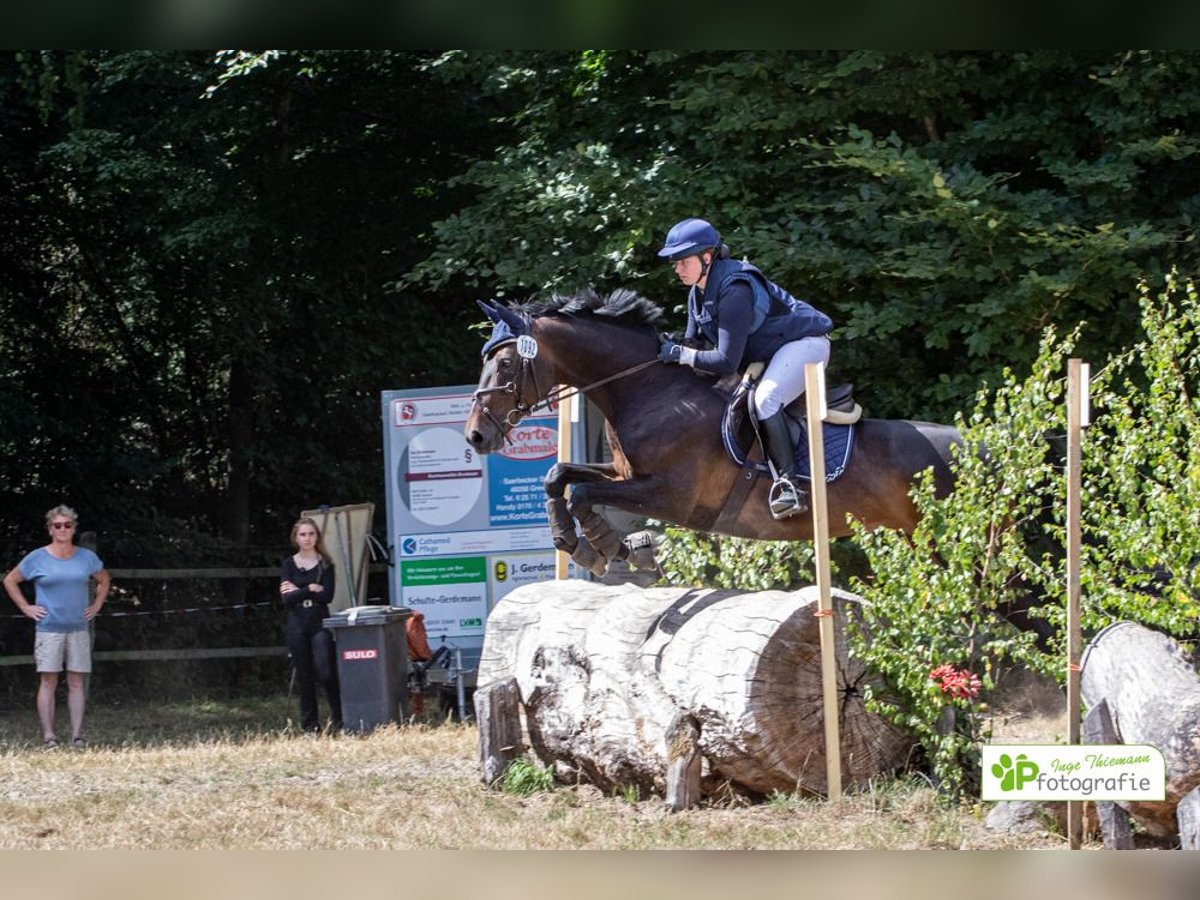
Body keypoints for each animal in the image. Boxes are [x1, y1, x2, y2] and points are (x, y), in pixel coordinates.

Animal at [463, 289, 960, 578]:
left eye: (504, 364)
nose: (475, 437)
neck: (650, 389)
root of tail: (971, 444)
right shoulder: (623, 472)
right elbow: (560, 476)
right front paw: (578, 543)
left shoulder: (672, 496)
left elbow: (583, 492)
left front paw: (613, 548)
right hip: (915, 538)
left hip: (943, 544)